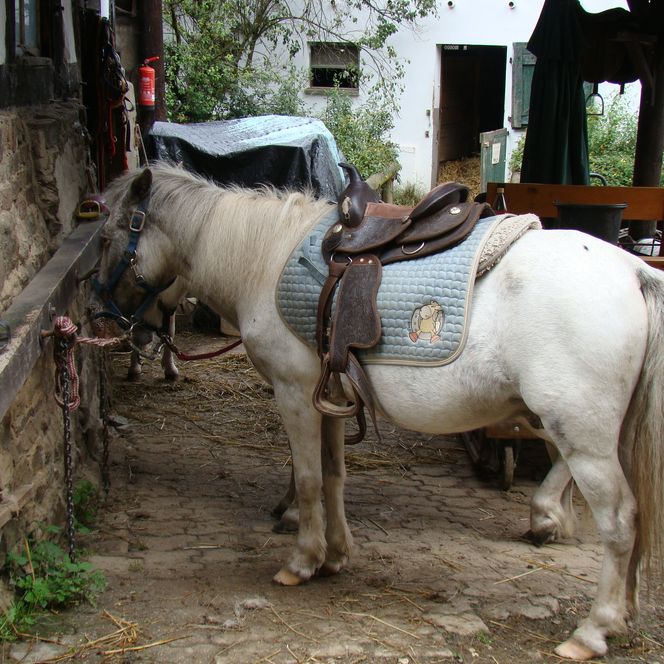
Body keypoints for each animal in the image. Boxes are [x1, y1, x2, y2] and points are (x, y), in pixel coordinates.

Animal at [93, 163, 664, 661]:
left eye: (106, 236)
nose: (104, 314)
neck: (265, 257)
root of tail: (635, 269)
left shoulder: (294, 393)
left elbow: (307, 480)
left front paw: (302, 560)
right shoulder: (331, 401)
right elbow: (333, 476)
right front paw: (336, 555)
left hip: (580, 435)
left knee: (619, 520)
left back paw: (592, 629)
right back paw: (612, 601)